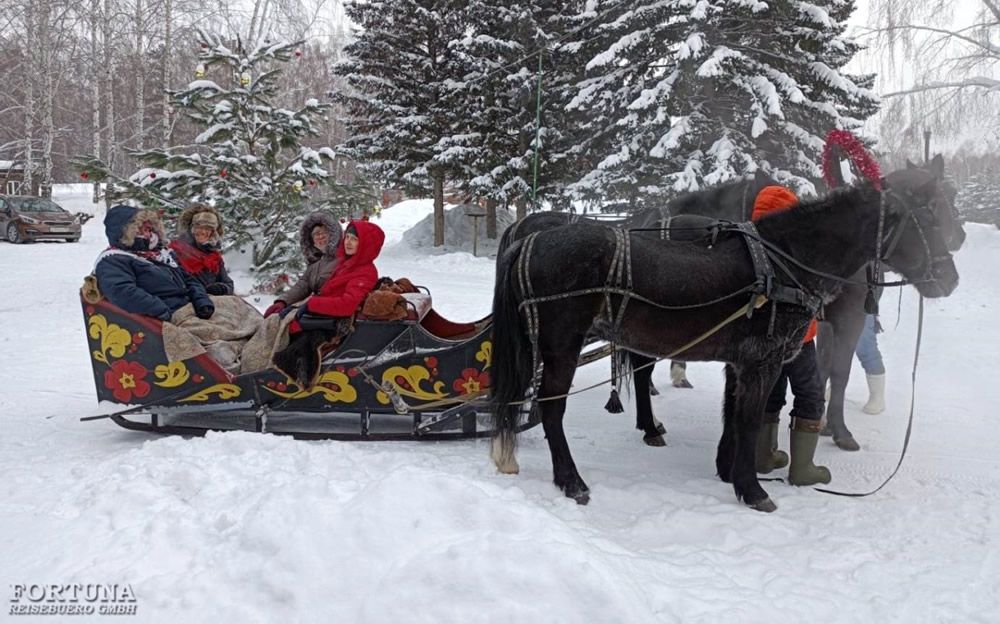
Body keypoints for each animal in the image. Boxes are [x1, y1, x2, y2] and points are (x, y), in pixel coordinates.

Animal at [488, 183, 956, 510]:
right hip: (562, 347)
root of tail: (527, 241)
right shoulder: (762, 361)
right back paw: (571, 480)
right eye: (929, 223)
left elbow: (732, 415)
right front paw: (752, 489)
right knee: (552, 409)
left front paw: (728, 471)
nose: (949, 279)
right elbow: (749, 419)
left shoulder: (740, 360)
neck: (783, 262)